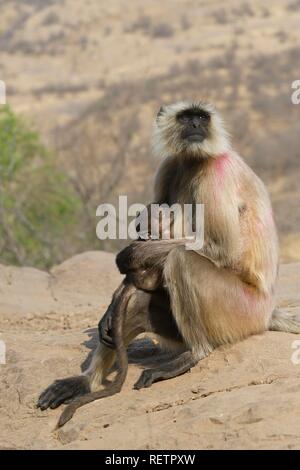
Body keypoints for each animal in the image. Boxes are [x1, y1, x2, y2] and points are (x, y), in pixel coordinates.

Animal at [37, 101, 300, 424]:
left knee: (181, 259)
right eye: (186, 118)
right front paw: (109, 309)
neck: (194, 160)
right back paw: (86, 382)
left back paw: (195, 354)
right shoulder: (169, 166)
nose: (196, 126)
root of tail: (267, 312)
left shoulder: (217, 171)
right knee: (137, 299)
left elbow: (224, 249)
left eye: (202, 117)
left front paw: (130, 254)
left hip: (240, 313)